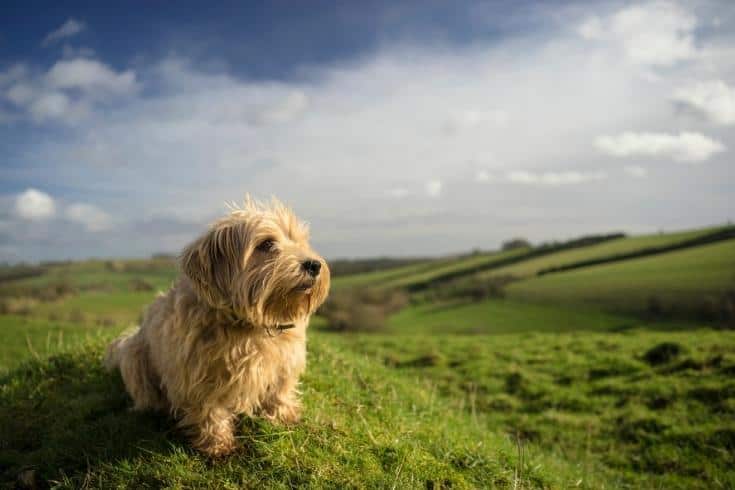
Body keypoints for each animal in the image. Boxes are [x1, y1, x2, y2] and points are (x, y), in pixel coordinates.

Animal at [103, 197, 330, 458]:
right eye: (267, 244)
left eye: (300, 241)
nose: (314, 265)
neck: (249, 326)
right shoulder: (199, 375)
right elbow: (210, 409)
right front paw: (217, 444)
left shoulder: (285, 363)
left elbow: (280, 391)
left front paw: (283, 417)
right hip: (133, 353)